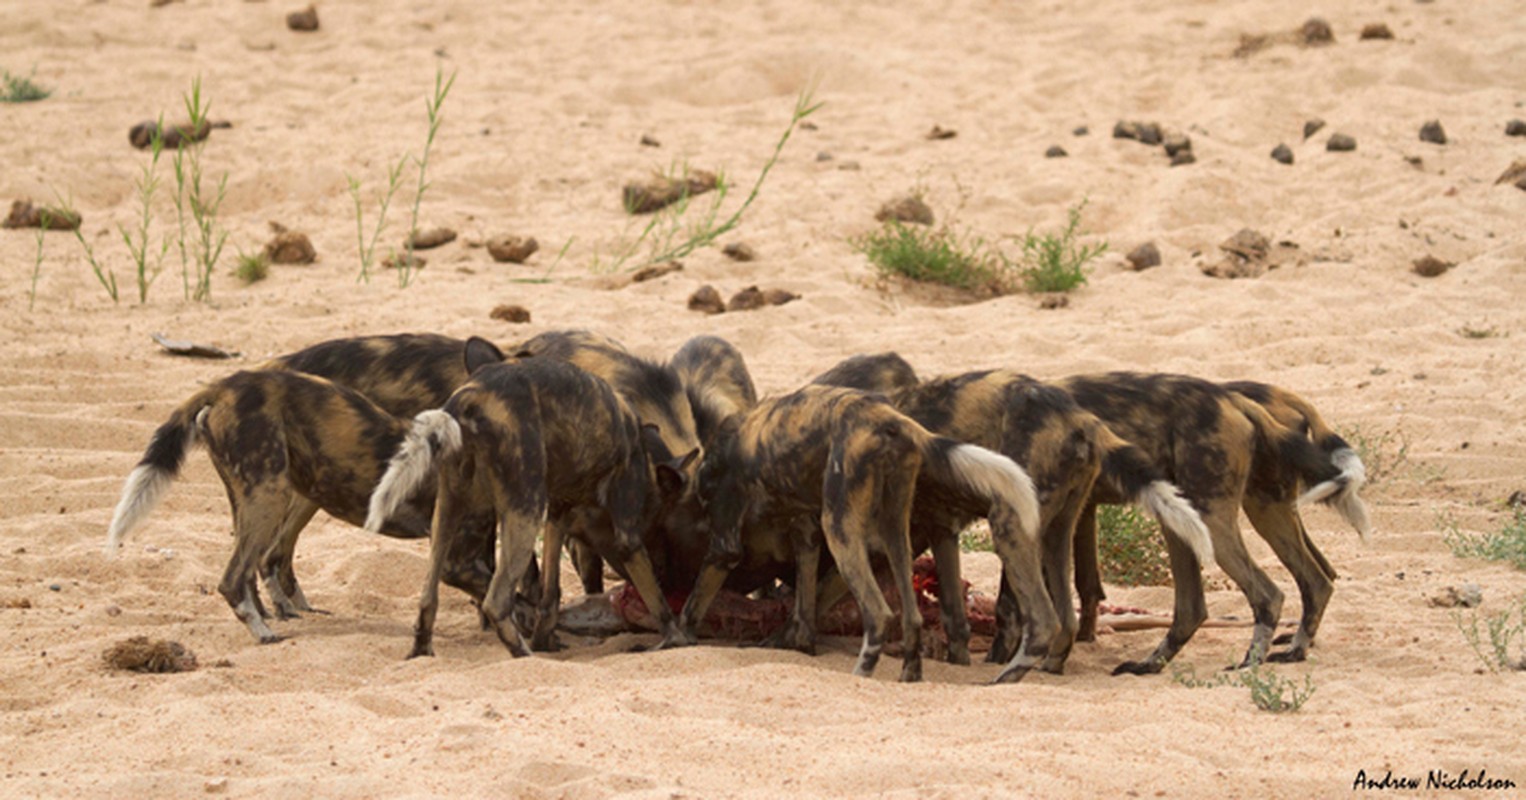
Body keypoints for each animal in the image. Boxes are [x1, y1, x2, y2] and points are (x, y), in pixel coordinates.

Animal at [103, 370, 451, 644]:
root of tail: (227, 384)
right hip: (272, 495)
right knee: (234, 578)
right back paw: (264, 633)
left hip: (282, 495)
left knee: (255, 566)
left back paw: (277, 614)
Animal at [366, 337, 695, 656]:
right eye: (661, 533)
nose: (671, 577)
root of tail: (470, 398)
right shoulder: (627, 535)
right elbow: (658, 603)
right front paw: (675, 638)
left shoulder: (557, 518)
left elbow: (549, 596)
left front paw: (546, 641)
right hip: (523, 513)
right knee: (495, 601)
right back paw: (522, 653)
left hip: (451, 511)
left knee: (428, 596)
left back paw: (422, 651)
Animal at [680, 386, 1049, 680]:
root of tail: (892, 421)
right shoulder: (807, 534)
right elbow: (805, 606)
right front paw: (792, 641)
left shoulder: (724, 544)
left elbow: (691, 606)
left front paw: (677, 639)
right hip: (894, 529)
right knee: (912, 615)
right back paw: (909, 676)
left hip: (840, 529)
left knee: (879, 614)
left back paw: (861, 676)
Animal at [811, 355, 1214, 674]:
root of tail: (1079, 419)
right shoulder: (940, 532)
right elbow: (955, 619)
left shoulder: (874, 539)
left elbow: (821, 594)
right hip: (1056, 531)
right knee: (1065, 620)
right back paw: (1047, 669)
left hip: (1008, 526)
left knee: (1044, 621)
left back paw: (1003, 679)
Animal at [1062, 372, 1373, 671]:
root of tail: (1238, 400)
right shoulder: (1083, 513)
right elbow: (1088, 587)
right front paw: (1084, 639)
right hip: (1259, 510)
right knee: (1319, 578)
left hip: (1213, 520)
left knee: (1270, 593)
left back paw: (1253, 661)